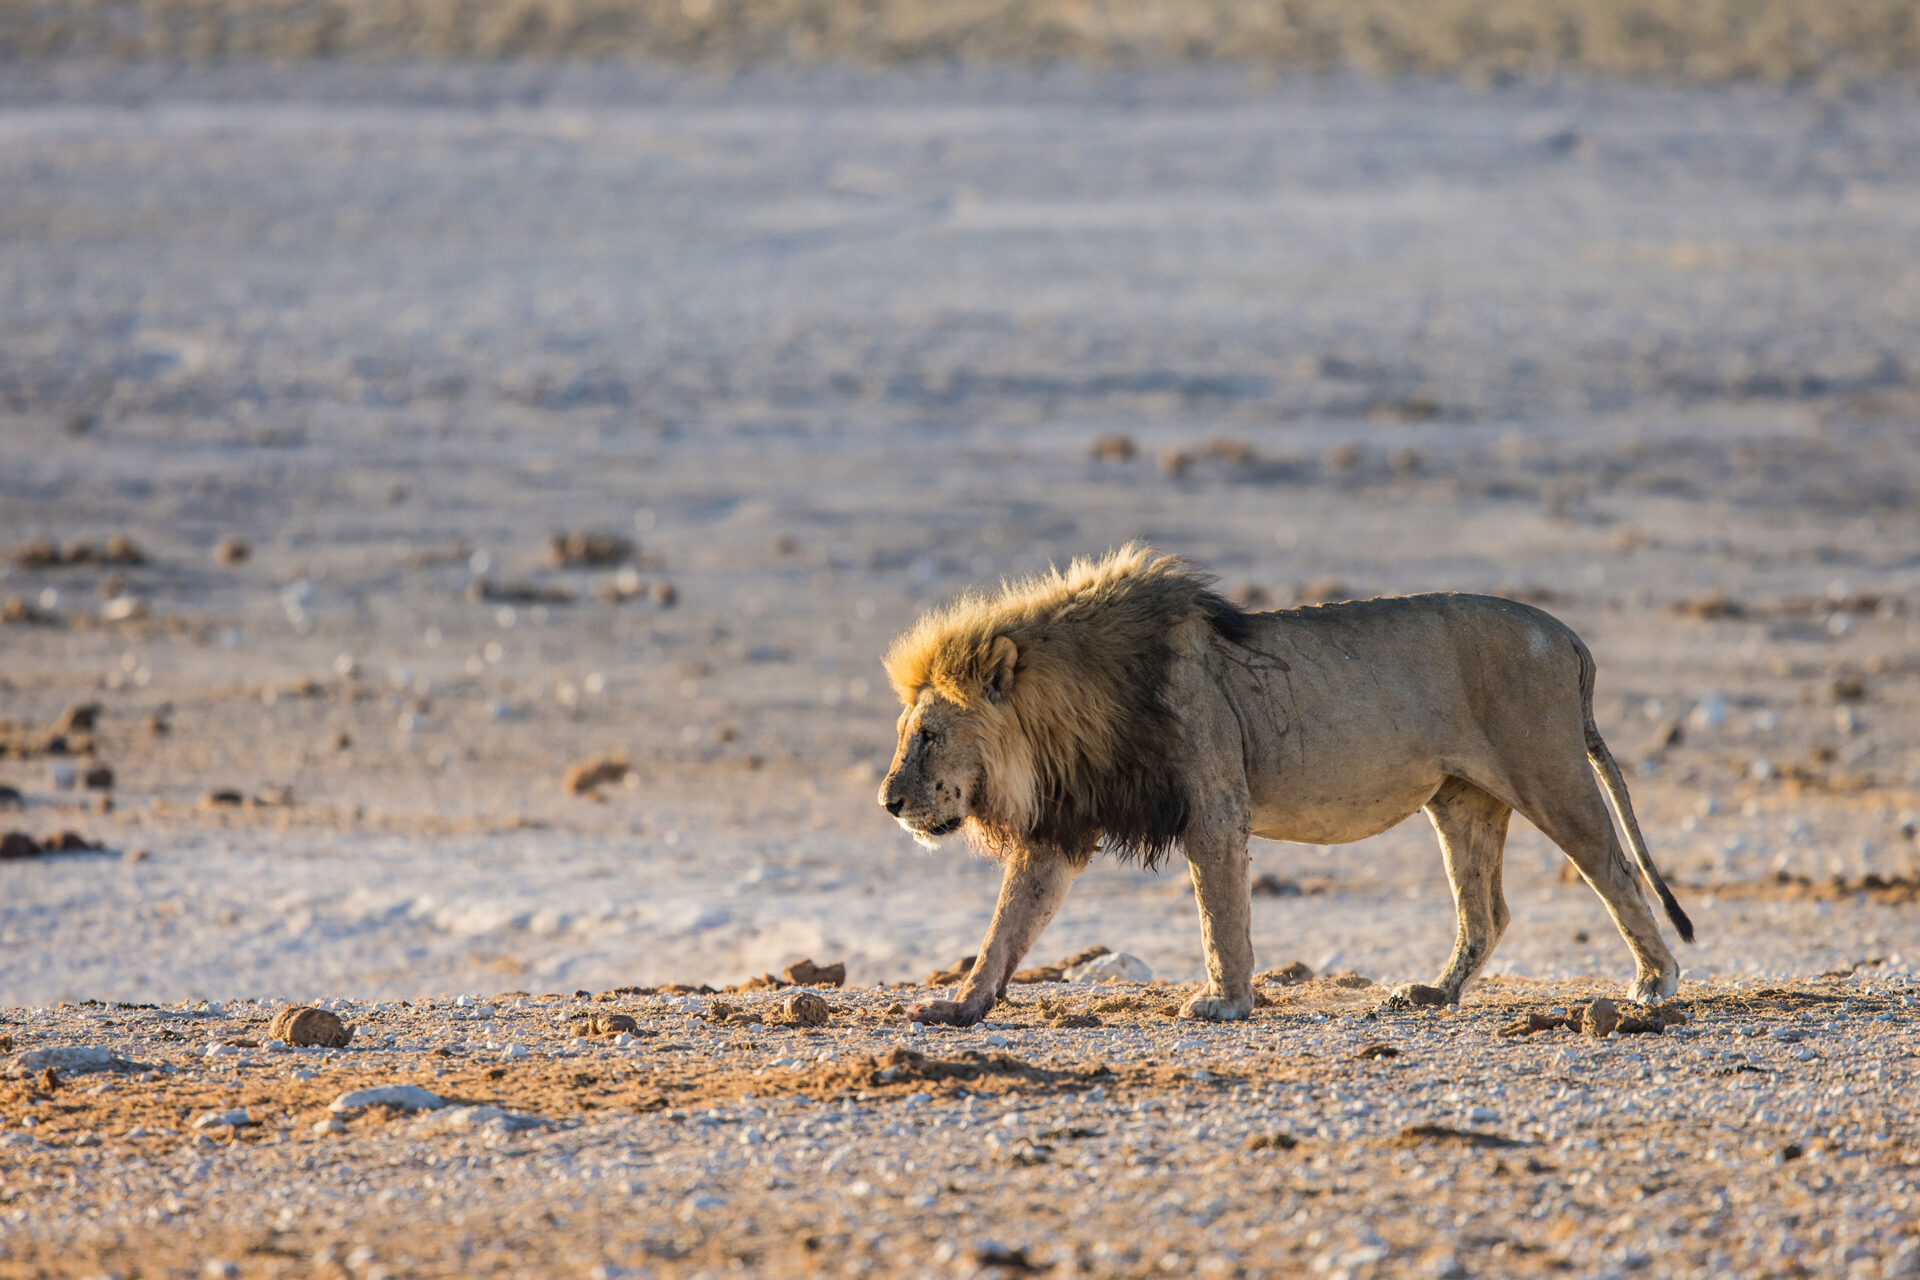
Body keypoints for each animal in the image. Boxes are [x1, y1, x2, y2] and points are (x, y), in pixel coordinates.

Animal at [879, 544, 1693, 1025]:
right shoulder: (1061, 826)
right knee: (1486, 912)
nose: (888, 802)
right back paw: (1432, 993)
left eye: (929, 735)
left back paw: (1654, 985)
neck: (1067, 711)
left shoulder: (1213, 804)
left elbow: (1221, 914)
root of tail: (1568, 637)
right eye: (907, 733)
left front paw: (1224, 1001)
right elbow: (1009, 924)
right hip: (1462, 800)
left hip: (1549, 771)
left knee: (1617, 871)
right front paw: (959, 1005)